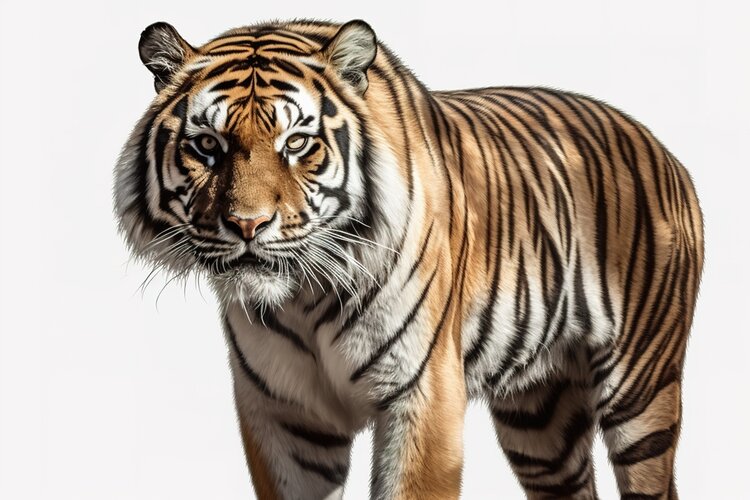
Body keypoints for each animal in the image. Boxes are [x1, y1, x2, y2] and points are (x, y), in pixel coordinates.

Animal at [114, 18, 704, 500]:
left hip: (640, 391)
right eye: (207, 146)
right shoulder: (285, 414)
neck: (302, 299)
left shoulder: (422, 396)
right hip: (541, 418)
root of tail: (661, 147)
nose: (247, 225)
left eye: (298, 143)